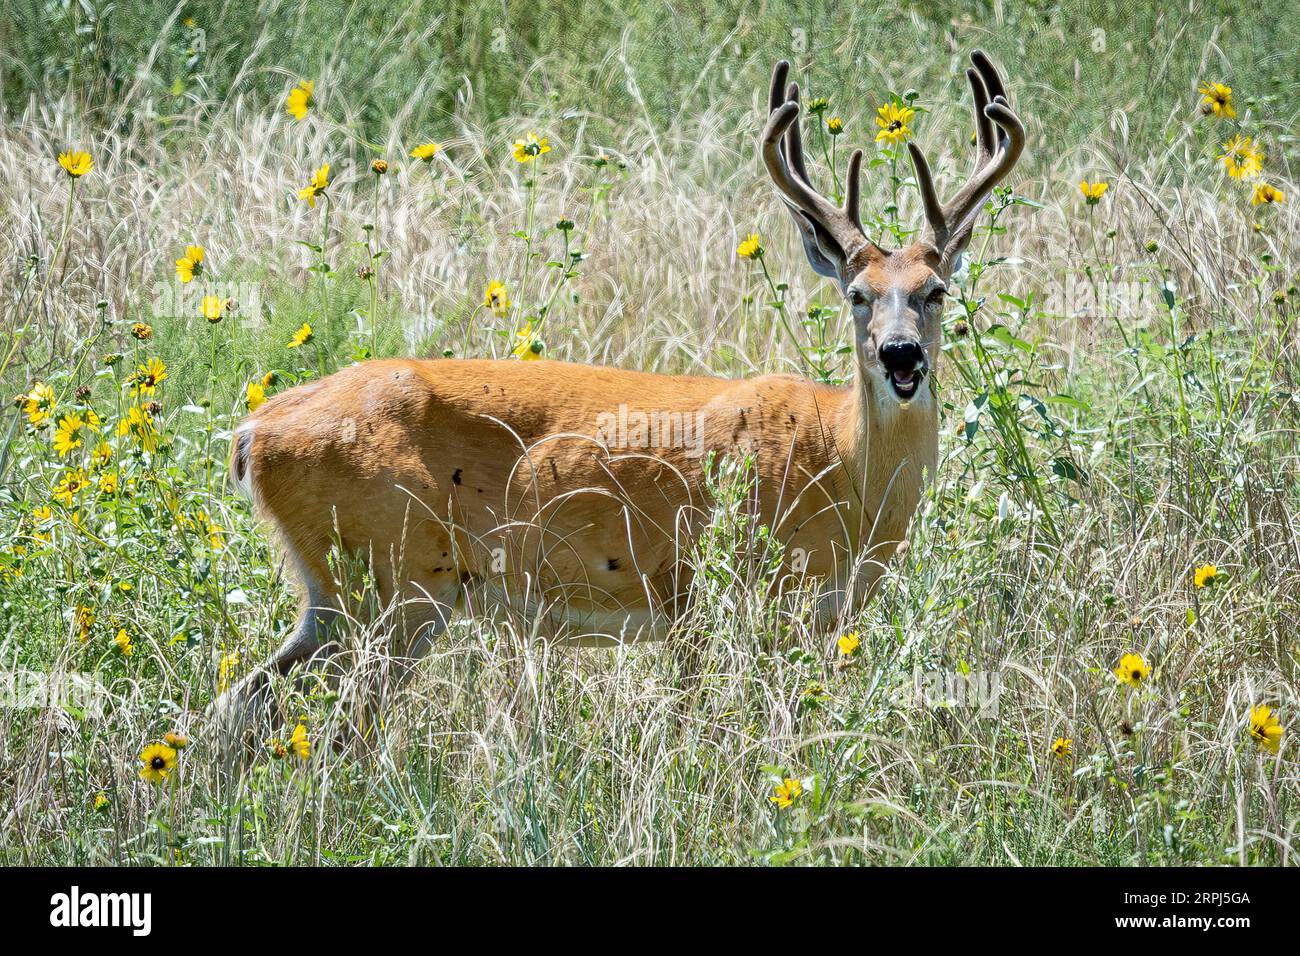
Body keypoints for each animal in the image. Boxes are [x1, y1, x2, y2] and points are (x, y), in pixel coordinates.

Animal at [210, 51, 1024, 732]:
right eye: (858, 294)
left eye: (936, 291)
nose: (900, 354)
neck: (842, 464)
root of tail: (254, 432)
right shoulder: (709, 593)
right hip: (397, 579)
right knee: (339, 720)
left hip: (337, 593)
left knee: (237, 706)